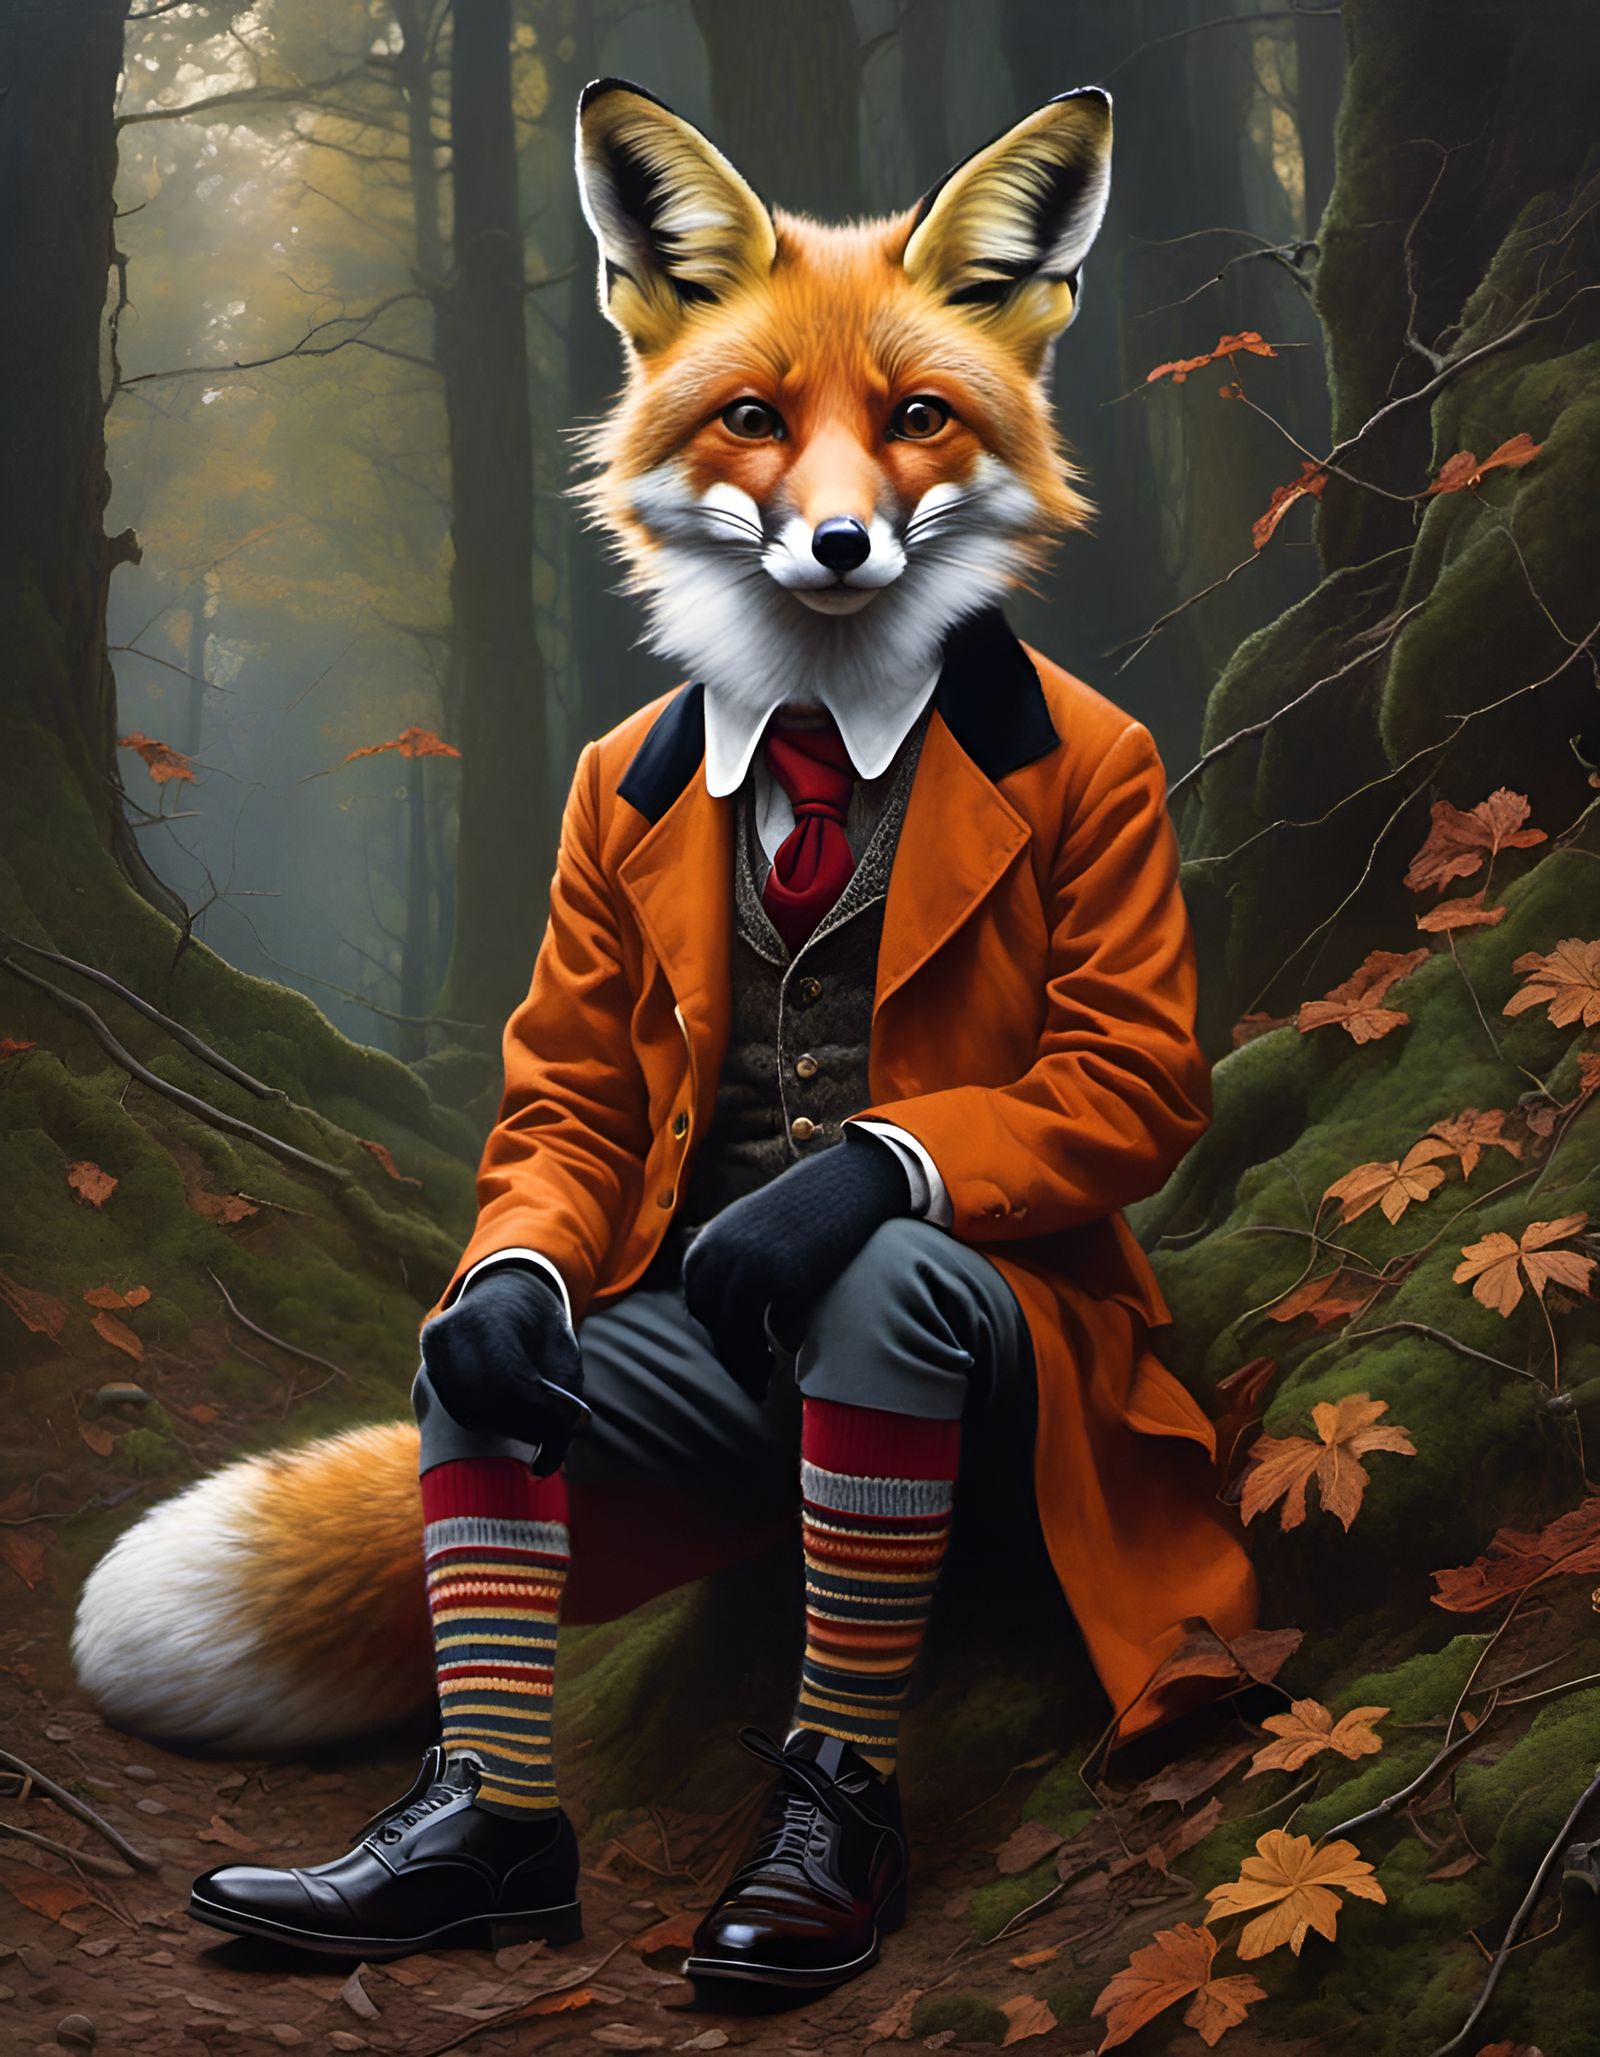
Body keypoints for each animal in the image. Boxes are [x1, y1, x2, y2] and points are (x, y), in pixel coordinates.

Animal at [67, 70, 1246, 1998]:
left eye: (917, 419)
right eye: (755, 420)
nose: (839, 544)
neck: (828, 720)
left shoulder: (1122, 869)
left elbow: (1104, 1075)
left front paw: (785, 1218)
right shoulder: (585, 959)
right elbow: (558, 1119)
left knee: (888, 1294)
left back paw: (801, 1874)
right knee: (475, 1368)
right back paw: (464, 1858)